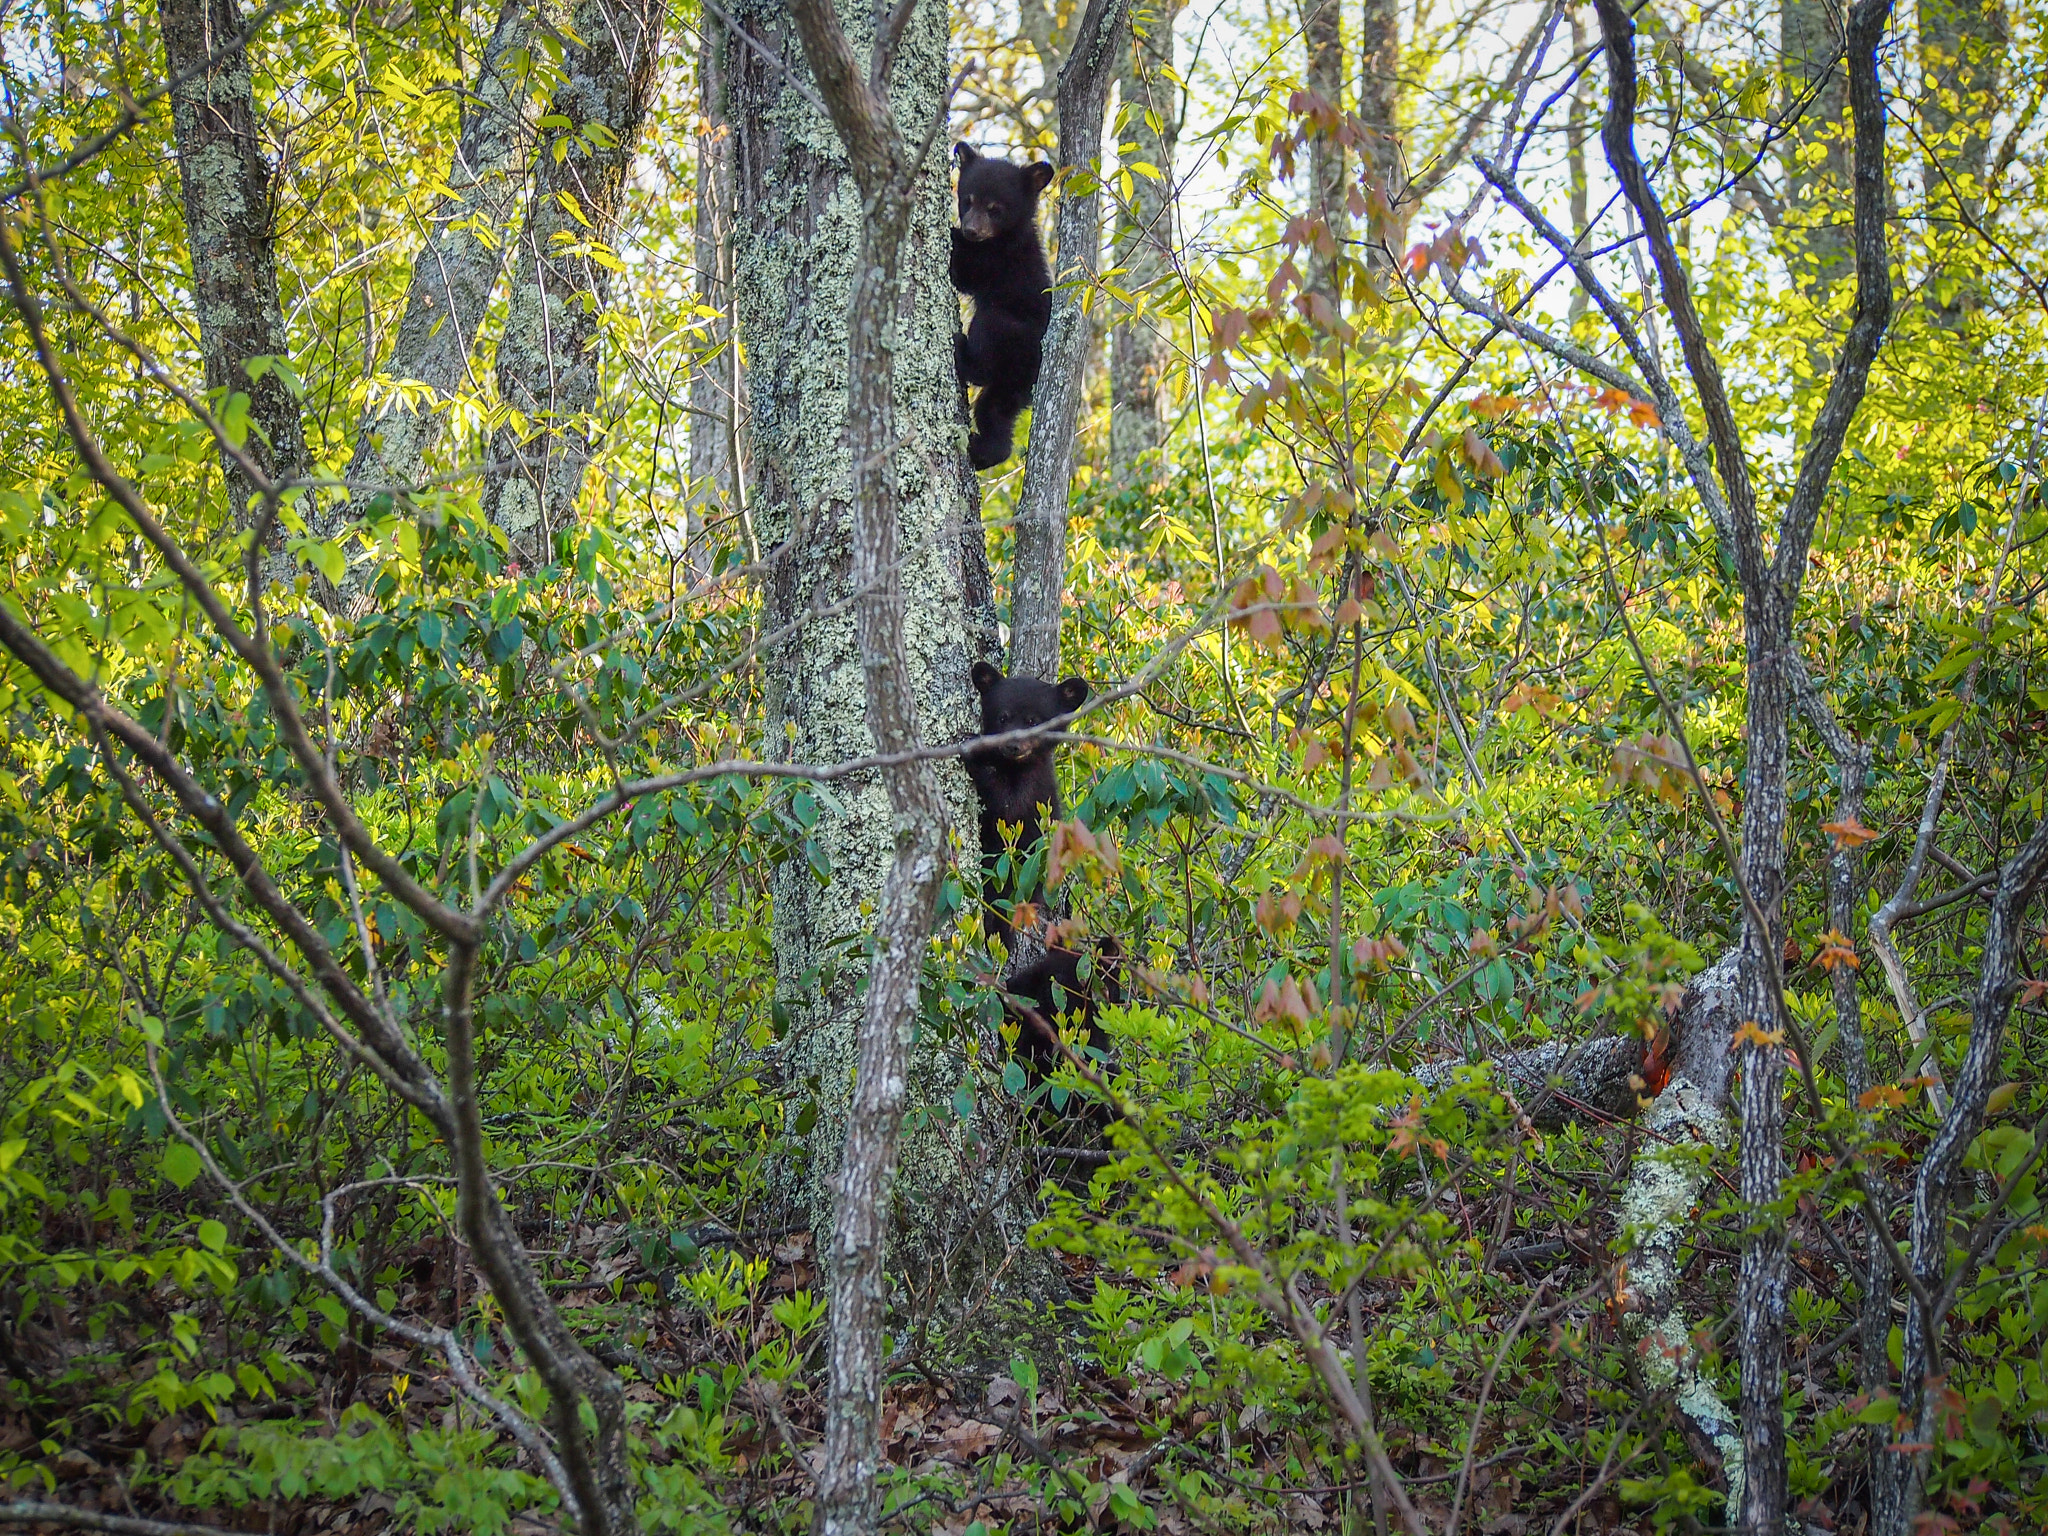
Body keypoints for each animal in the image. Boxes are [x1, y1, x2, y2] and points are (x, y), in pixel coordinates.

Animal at [950, 143, 1055, 470]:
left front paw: (952, 236)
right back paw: (985, 451)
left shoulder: (999, 261)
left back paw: (964, 352)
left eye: (995, 208)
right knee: (995, 410)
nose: (971, 230)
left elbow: (965, 271)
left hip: (1010, 330)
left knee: (987, 342)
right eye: (968, 200)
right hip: (1015, 382)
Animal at [963, 660, 1088, 945]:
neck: (1013, 766)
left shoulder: (1033, 789)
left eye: (1033, 720)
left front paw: (970, 747)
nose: (1013, 745)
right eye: (1003, 717)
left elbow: (1008, 804)